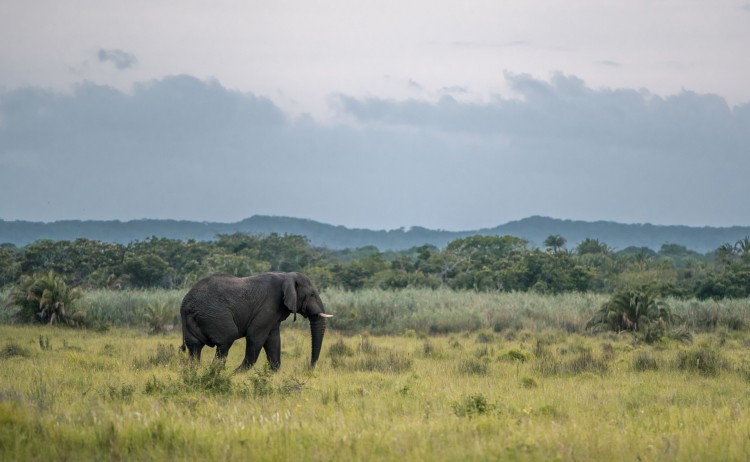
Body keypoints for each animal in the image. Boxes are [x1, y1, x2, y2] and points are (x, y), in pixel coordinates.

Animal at [180, 272, 332, 370]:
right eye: (312, 294)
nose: (309, 368)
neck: (287, 275)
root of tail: (187, 305)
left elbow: (273, 340)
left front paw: (274, 373)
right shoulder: (268, 306)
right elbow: (255, 337)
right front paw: (237, 374)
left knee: (195, 347)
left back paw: (195, 371)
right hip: (215, 315)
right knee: (226, 340)